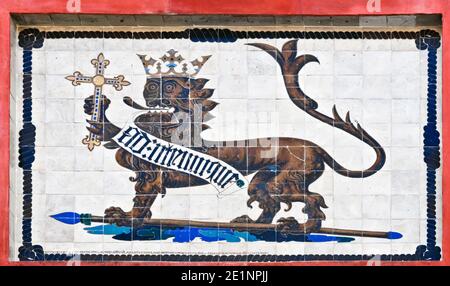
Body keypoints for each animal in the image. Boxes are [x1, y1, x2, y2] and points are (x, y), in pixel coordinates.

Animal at [85, 39, 386, 232]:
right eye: (150, 84)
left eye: (169, 86)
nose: (146, 90)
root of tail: (317, 146)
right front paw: (97, 111)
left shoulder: (150, 175)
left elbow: (141, 200)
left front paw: (125, 218)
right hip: (263, 180)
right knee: (270, 203)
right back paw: (254, 225)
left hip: (290, 179)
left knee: (312, 201)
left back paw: (298, 229)